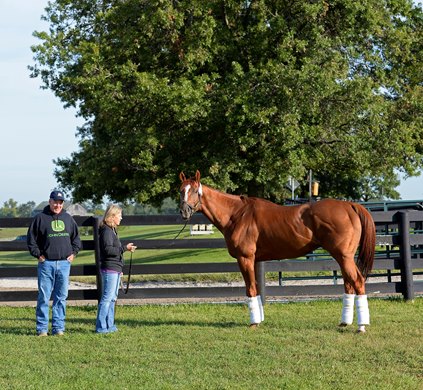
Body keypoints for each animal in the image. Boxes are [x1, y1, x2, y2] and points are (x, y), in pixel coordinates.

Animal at [181, 171, 376, 332]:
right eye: (181, 190)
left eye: (194, 190)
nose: (184, 211)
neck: (237, 215)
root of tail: (349, 205)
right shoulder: (255, 260)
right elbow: (257, 287)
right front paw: (259, 319)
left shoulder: (245, 258)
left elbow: (250, 288)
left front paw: (254, 323)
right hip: (342, 257)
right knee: (349, 284)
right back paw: (345, 322)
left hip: (344, 256)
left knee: (358, 282)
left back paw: (361, 326)